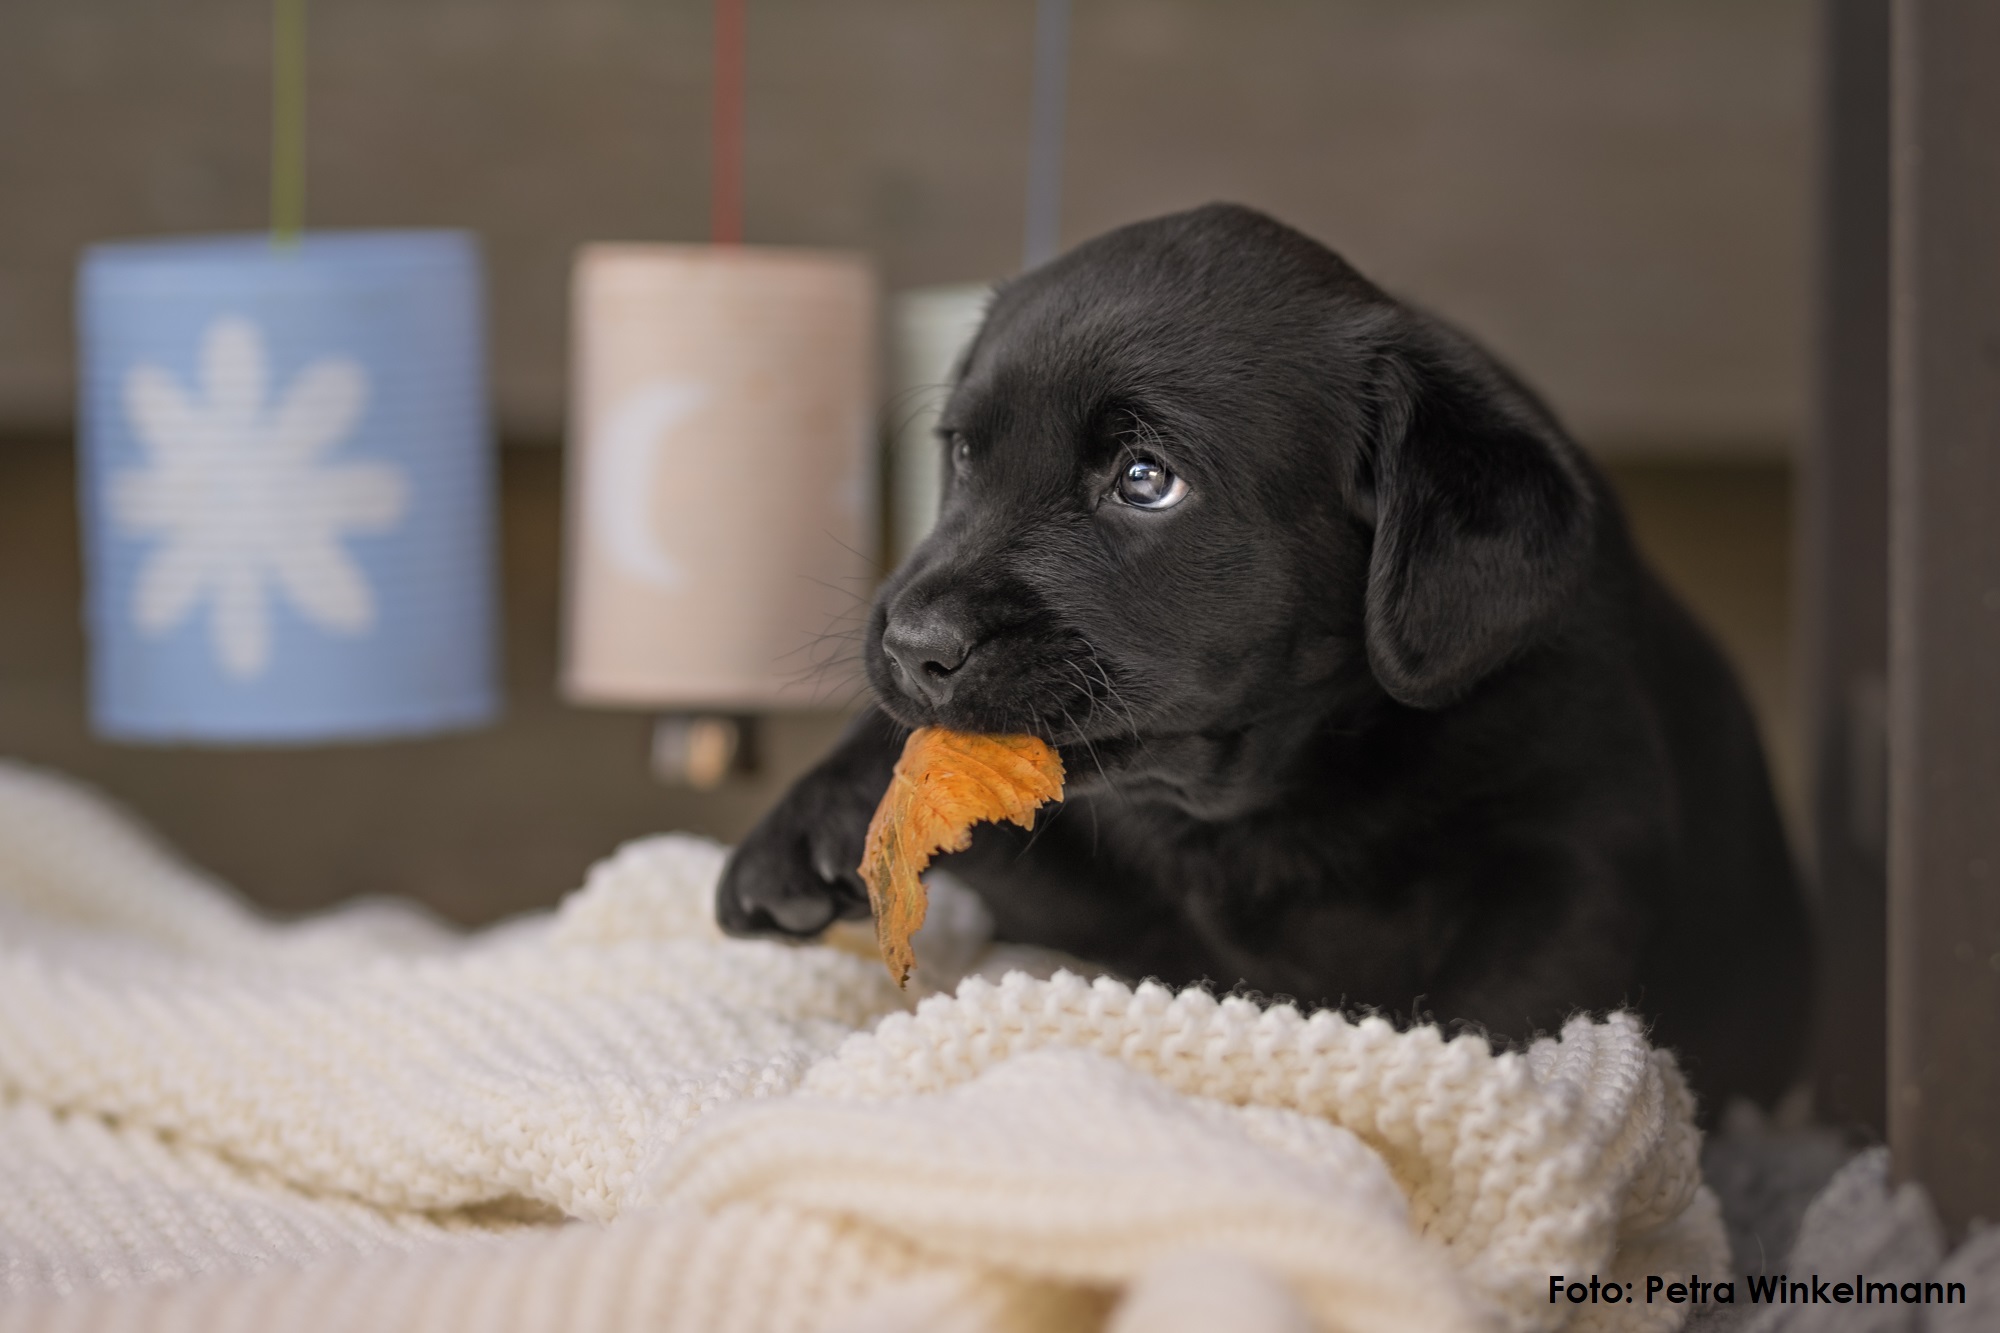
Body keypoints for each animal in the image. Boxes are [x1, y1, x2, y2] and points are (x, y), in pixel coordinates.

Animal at [717, 203, 1812, 1114]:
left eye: (1145, 480)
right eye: (962, 455)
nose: (910, 644)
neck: (1255, 801)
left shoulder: (1576, 851)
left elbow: (1493, 1012)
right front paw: (816, 816)